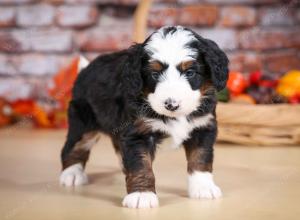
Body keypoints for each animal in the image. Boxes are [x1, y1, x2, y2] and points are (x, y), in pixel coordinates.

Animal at [58, 25, 229, 208]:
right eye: (154, 74)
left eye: (190, 72)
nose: (171, 104)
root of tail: (85, 70)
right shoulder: (137, 133)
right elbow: (140, 165)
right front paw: (142, 194)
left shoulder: (202, 127)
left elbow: (200, 158)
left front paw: (203, 187)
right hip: (83, 123)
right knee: (73, 147)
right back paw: (72, 174)